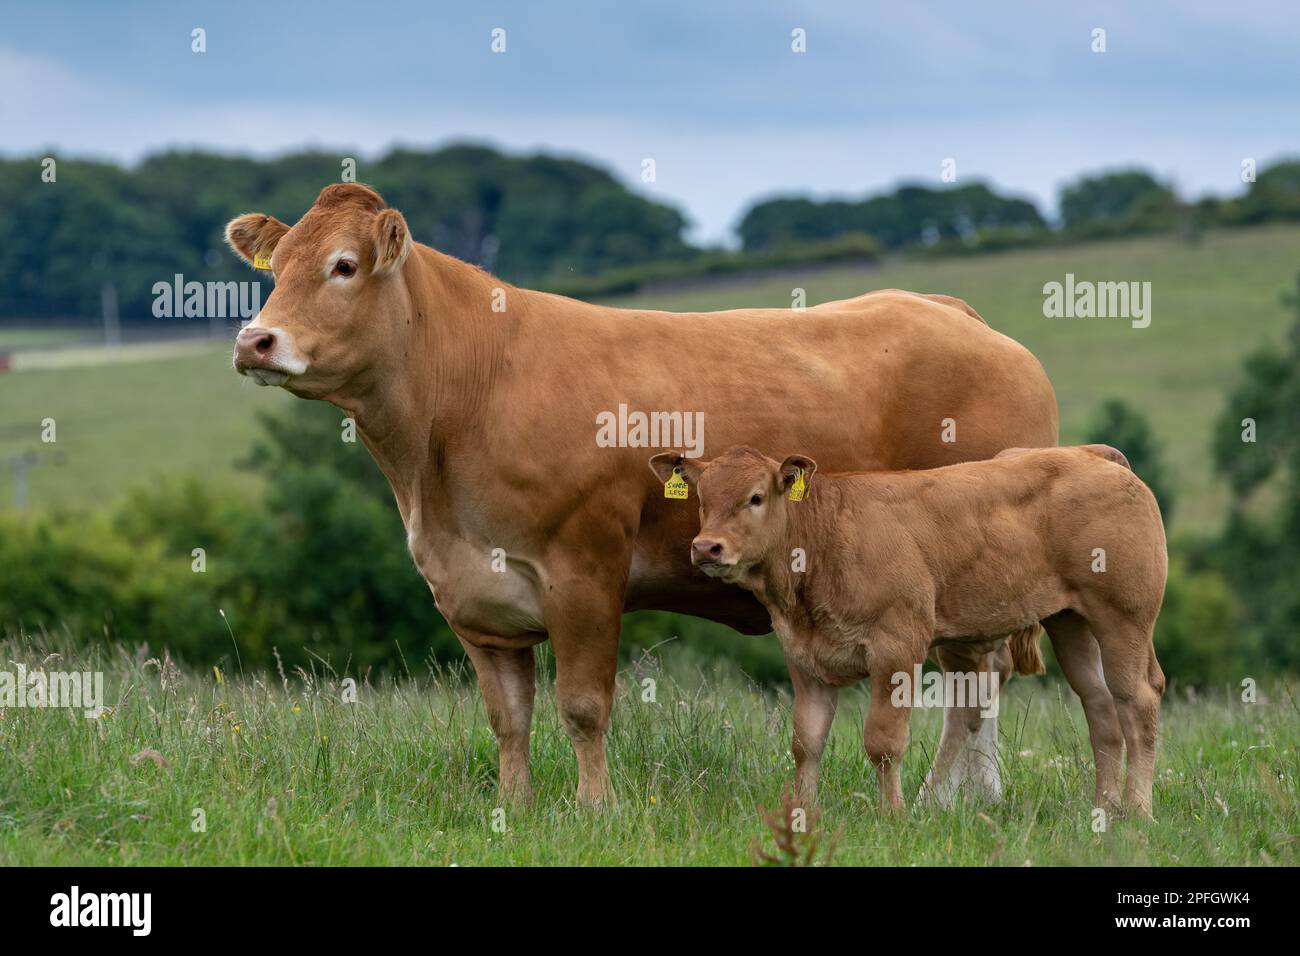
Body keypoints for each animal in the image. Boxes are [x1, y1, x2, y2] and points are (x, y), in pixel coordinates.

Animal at [228, 180, 1060, 806]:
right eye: (276, 269)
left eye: (343, 266)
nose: (255, 340)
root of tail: (950, 311)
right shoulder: (474, 596)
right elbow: (508, 718)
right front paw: (513, 809)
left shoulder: (584, 571)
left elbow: (583, 706)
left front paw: (594, 809)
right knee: (973, 675)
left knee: (976, 676)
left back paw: (949, 798)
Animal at [650, 444, 1170, 816]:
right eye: (702, 500)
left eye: (756, 497)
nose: (706, 547)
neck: (826, 541)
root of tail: (1091, 454)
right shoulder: (805, 660)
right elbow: (806, 742)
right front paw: (802, 812)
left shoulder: (896, 650)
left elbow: (883, 741)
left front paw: (894, 815)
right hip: (1071, 623)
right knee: (1100, 706)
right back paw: (1104, 808)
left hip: (1123, 618)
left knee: (1137, 701)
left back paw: (1138, 811)